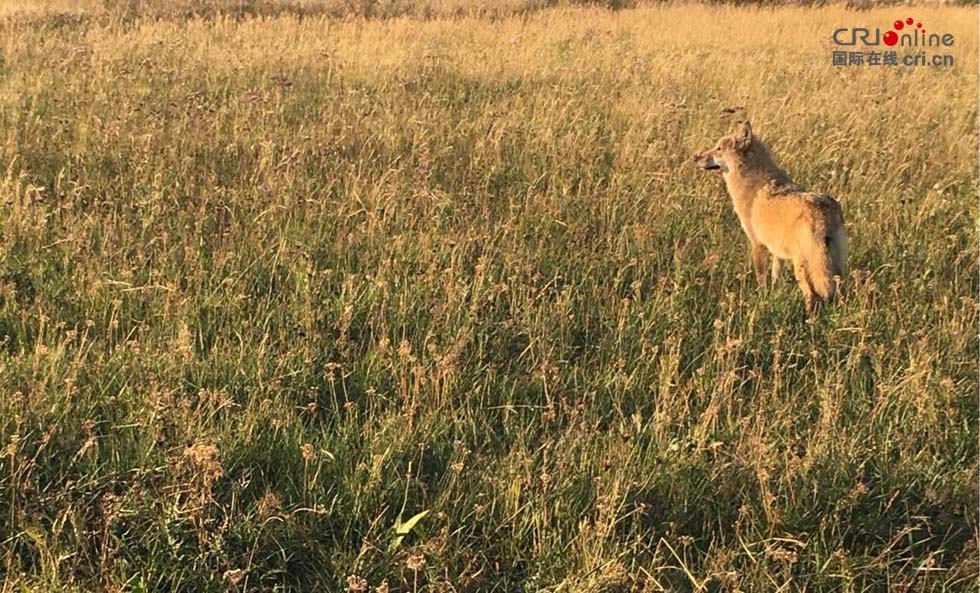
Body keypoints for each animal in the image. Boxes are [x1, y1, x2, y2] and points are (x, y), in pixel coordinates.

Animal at [692, 121, 848, 314]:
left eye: (718, 148)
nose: (696, 157)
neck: (752, 183)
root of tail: (824, 212)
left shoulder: (756, 244)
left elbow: (761, 277)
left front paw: (761, 298)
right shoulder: (776, 250)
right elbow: (775, 275)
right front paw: (774, 294)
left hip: (802, 268)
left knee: (812, 294)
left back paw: (809, 320)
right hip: (835, 267)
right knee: (839, 290)